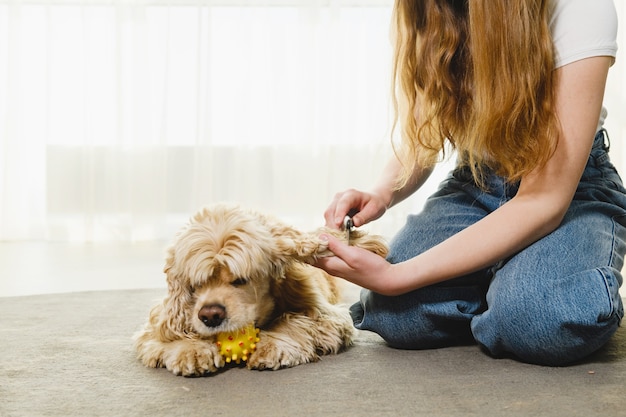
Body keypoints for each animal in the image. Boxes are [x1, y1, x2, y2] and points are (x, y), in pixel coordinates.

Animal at [133, 203, 386, 376]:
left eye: (240, 280)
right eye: (196, 285)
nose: (211, 316)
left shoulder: (328, 317)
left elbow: (295, 320)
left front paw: (272, 345)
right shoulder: (158, 321)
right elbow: (168, 332)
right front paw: (191, 350)